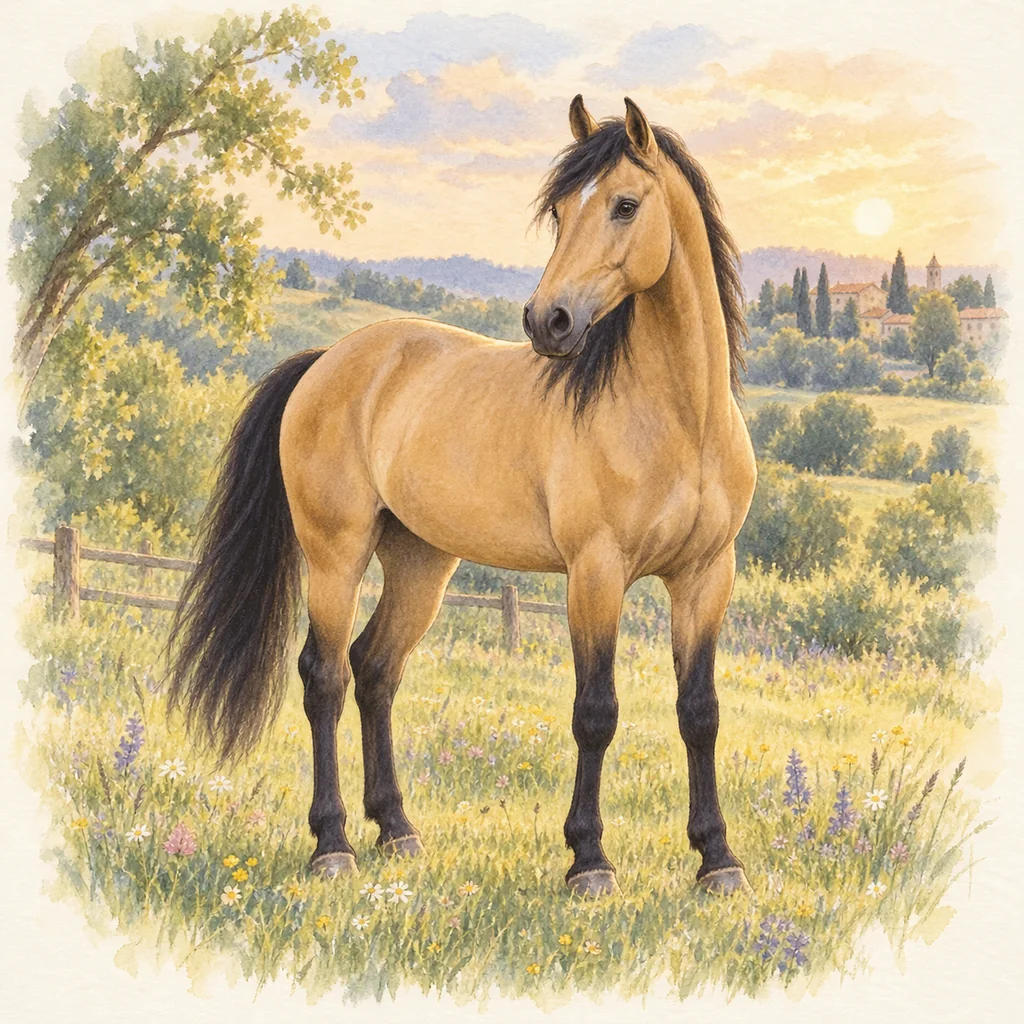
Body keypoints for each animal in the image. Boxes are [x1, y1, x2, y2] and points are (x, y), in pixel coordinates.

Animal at [168, 96, 756, 898]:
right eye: (559, 211)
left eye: (626, 205)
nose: (548, 322)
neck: (679, 418)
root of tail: (327, 361)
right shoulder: (595, 574)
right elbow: (595, 712)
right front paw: (589, 861)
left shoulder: (704, 577)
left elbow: (700, 713)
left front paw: (717, 859)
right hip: (335, 556)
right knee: (324, 676)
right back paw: (333, 845)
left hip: (421, 562)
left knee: (375, 670)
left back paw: (397, 831)